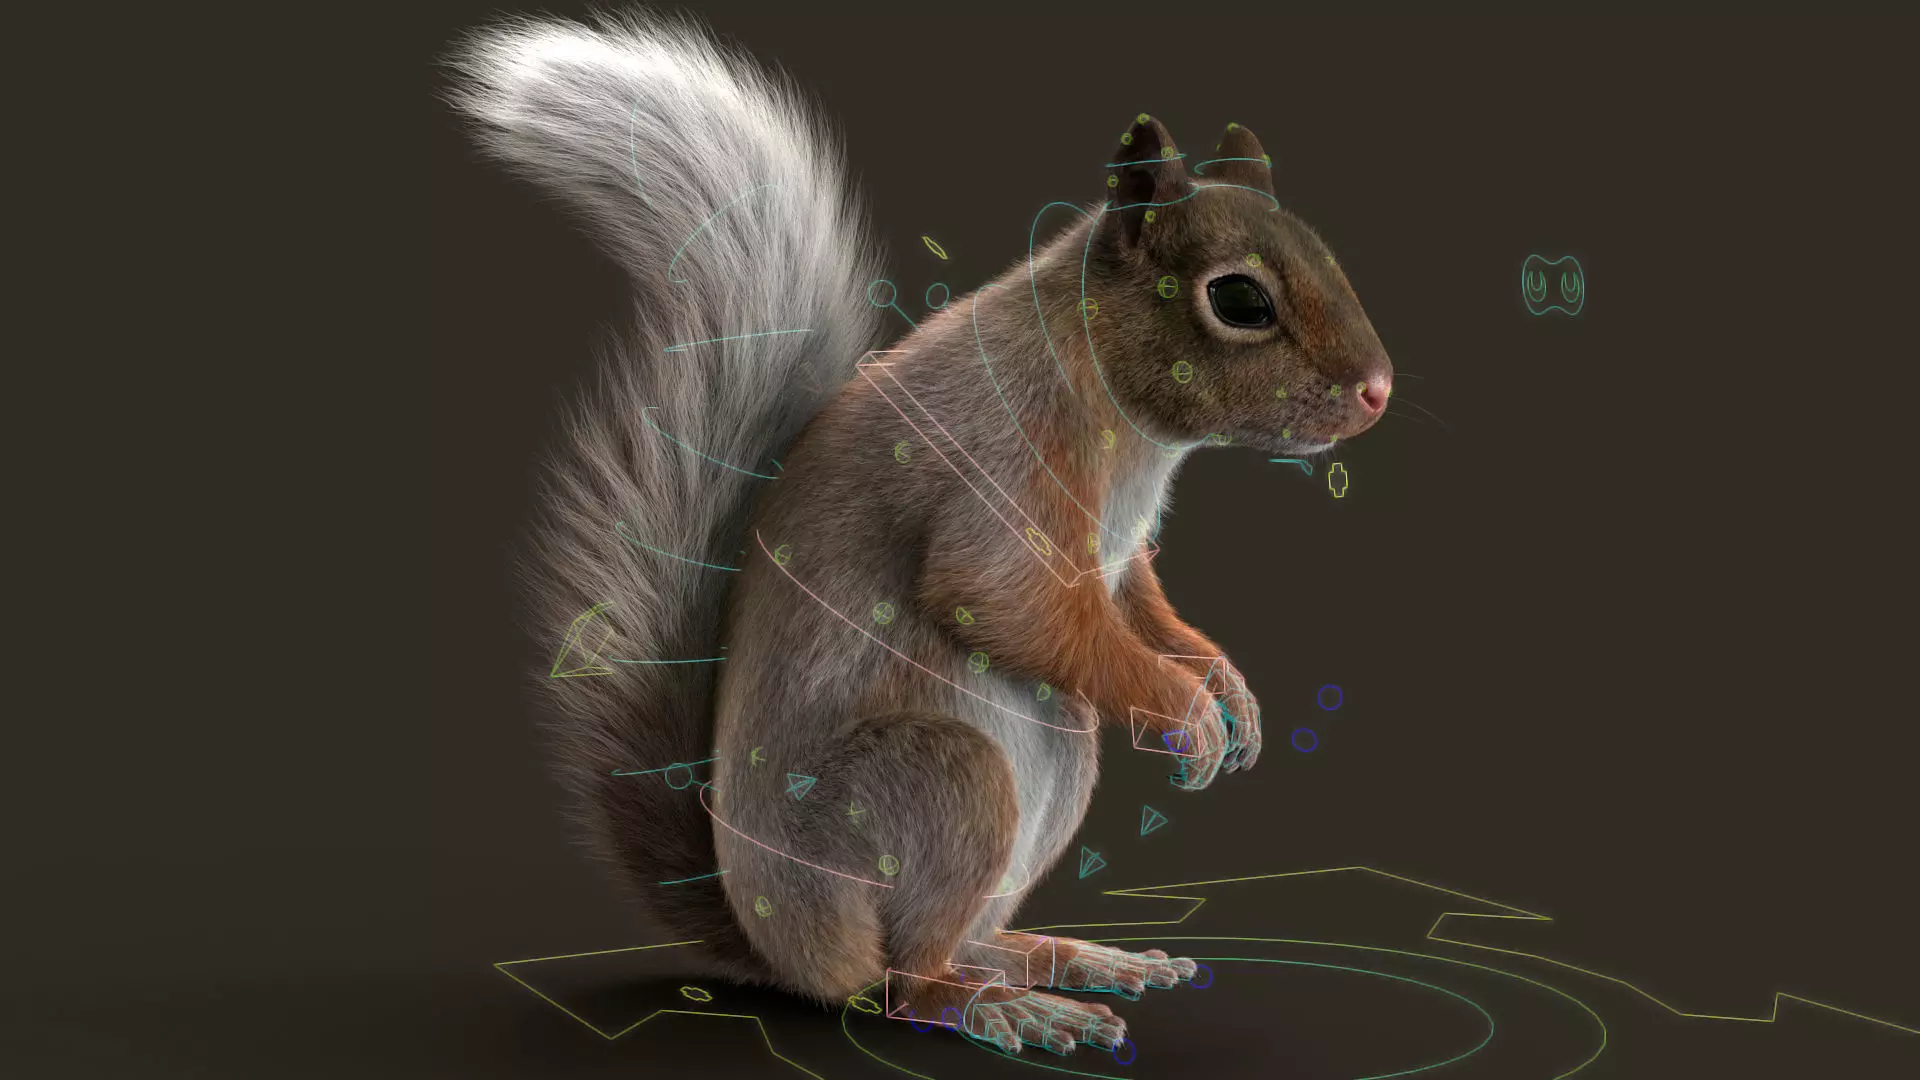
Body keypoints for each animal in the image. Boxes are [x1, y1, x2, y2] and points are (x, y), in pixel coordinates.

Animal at [448, 10, 1392, 1057]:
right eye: (1238, 300)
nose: (1379, 391)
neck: (1115, 407)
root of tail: (780, 948)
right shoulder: (999, 469)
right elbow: (1002, 598)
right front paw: (1185, 712)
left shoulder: (1117, 565)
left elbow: (1139, 607)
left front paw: (1227, 689)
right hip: (940, 782)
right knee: (903, 982)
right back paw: (998, 1004)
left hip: (1047, 769)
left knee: (958, 941)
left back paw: (1059, 958)